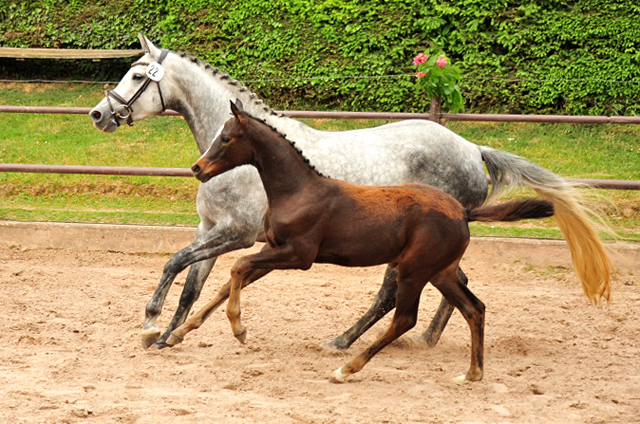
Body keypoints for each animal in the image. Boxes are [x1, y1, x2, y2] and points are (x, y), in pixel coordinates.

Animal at [87, 34, 612, 352]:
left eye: (138, 76)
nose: (99, 114)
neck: (251, 160)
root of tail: (470, 147)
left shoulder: (237, 234)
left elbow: (174, 263)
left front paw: (151, 324)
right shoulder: (211, 230)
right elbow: (191, 285)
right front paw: (168, 335)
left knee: (400, 292)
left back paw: (356, 341)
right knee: (449, 284)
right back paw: (427, 337)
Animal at [168, 100, 552, 384]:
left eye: (227, 138)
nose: (198, 168)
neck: (299, 190)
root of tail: (463, 212)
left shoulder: (297, 255)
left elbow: (236, 267)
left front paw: (238, 328)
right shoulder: (272, 248)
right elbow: (229, 281)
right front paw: (179, 332)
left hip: (414, 269)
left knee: (404, 318)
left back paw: (347, 366)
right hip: (439, 271)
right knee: (474, 308)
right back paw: (471, 373)